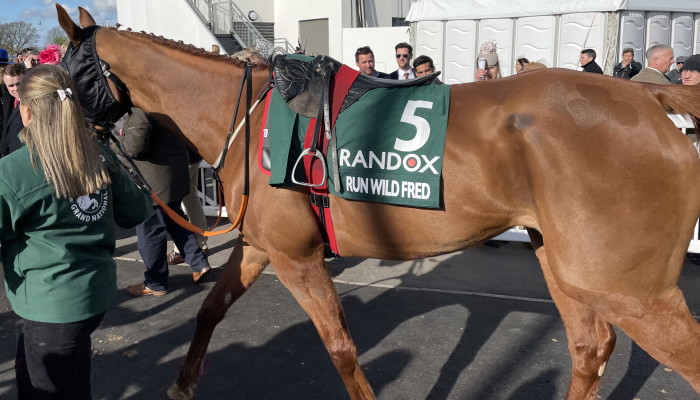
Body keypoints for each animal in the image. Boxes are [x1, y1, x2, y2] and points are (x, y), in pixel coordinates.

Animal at [60, 6, 700, 400]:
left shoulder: (297, 259)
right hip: (569, 267)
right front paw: (184, 381)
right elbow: (210, 310)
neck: (247, 121)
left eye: (63, 77)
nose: (64, 156)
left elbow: (341, 347)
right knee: (592, 348)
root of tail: (647, 99)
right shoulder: (263, 247)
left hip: (629, 288)